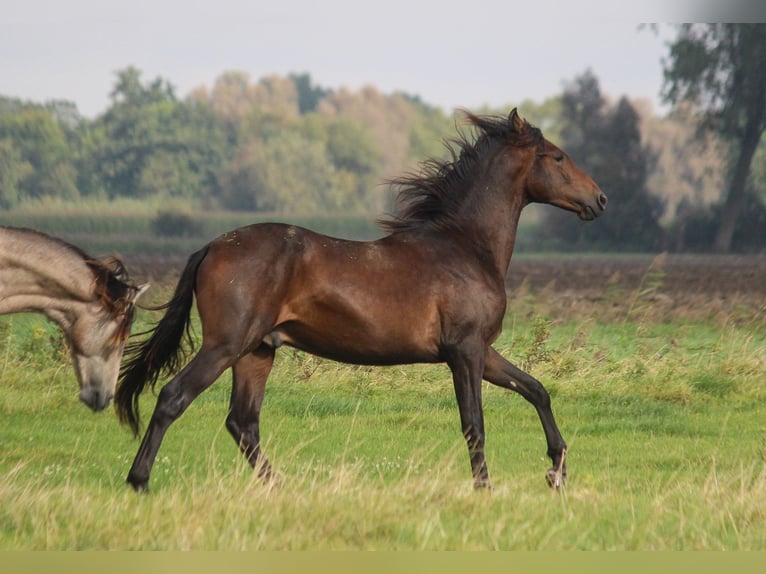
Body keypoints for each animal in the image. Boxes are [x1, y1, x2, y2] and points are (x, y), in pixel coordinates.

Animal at [115, 109, 608, 496]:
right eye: (557, 156)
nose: (600, 199)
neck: (465, 248)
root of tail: (212, 246)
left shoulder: (481, 351)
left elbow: (536, 389)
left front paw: (557, 471)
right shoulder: (464, 352)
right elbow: (475, 423)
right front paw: (485, 488)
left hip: (257, 352)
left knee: (243, 422)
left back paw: (283, 489)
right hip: (225, 345)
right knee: (174, 398)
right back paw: (139, 481)